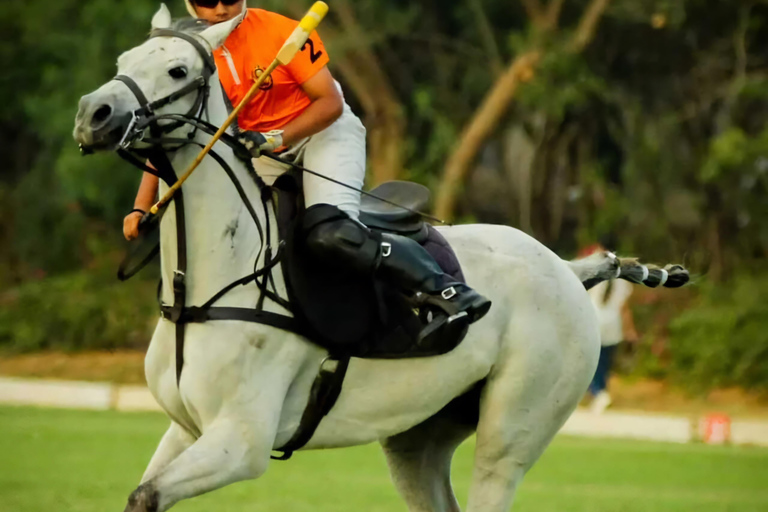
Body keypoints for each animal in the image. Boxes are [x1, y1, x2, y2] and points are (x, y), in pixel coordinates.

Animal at [72, 6, 680, 510]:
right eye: (125, 61)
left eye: (177, 71)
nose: (92, 114)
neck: (206, 284)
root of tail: (567, 270)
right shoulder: (186, 429)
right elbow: (143, 493)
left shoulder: (240, 442)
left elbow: (147, 494)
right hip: (420, 437)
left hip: (512, 434)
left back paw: (458, 301)